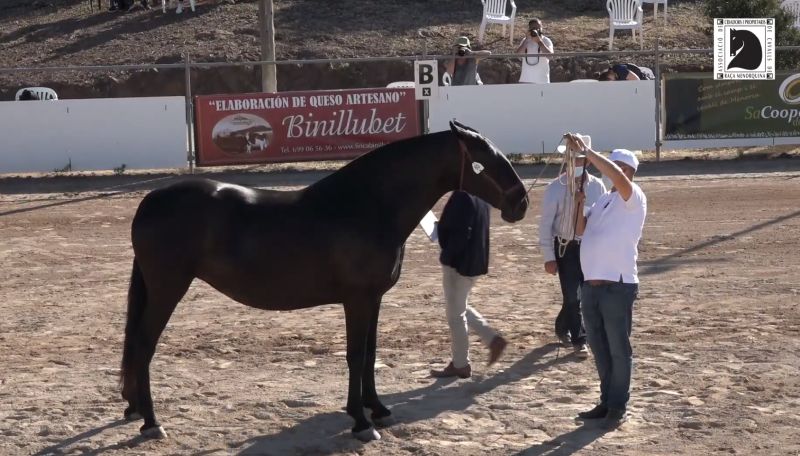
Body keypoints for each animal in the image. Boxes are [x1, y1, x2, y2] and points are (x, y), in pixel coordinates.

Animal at [120, 120, 529, 442]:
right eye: (485, 162)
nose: (521, 203)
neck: (368, 205)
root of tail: (151, 200)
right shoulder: (356, 300)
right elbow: (355, 355)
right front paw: (361, 422)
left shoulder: (374, 299)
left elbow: (370, 354)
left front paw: (377, 409)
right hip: (168, 288)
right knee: (143, 344)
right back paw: (152, 423)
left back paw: (136, 410)